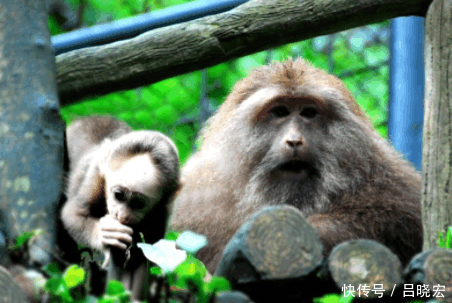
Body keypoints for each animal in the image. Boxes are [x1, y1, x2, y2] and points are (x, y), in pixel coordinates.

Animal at [60, 117, 180, 302]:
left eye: (138, 203)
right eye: (118, 195)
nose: (122, 215)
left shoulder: (162, 211)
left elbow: (145, 255)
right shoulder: (96, 176)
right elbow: (73, 213)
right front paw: (105, 233)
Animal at [170, 58, 424, 274]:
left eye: (308, 113)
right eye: (279, 112)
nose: (294, 141)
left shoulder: (387, 174)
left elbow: (398, 221)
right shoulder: (196, 195)